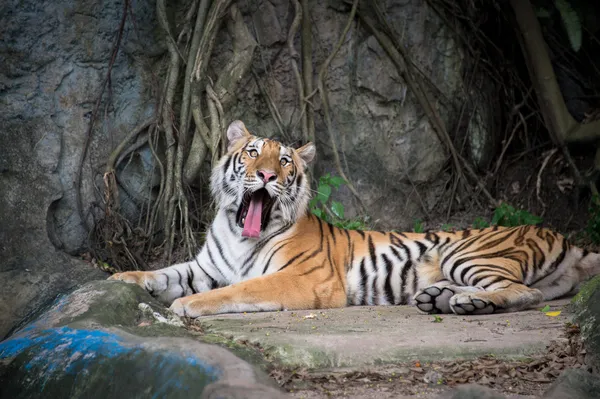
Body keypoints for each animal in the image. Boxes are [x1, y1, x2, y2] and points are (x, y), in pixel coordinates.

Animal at [108, 119, 600, 318]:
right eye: (251, 152)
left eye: (283, 161)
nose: (266, 175)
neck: (237, 231)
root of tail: (559, 234)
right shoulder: (206, 266)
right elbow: (164, 271)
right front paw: (121, 279)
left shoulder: (302, 279)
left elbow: (238, 290)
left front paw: (187, 305)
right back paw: (442, 298)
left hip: (469, 252)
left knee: (523, 292)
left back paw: (467, 303)